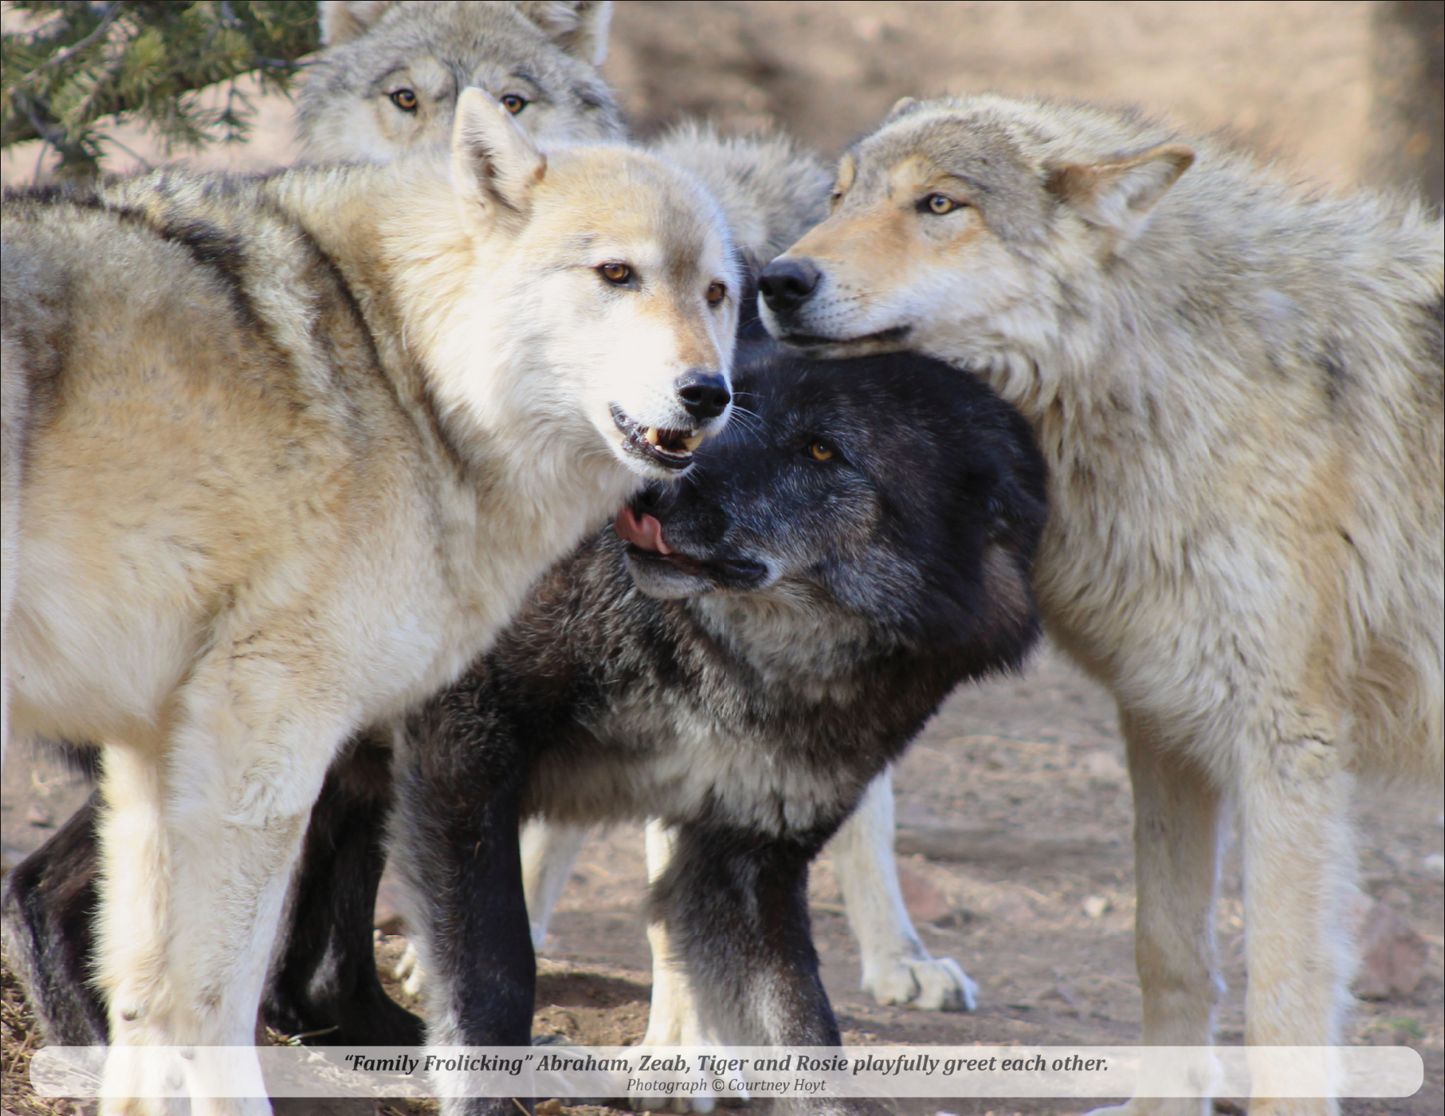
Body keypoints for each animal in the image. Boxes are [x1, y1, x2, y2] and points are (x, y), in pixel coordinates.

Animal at [1, 87, 739, 1114]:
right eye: (617, 274)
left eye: (716, 294)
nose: (709, 393)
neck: (406, 375)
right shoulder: (266, 734)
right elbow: (213, 998)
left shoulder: (155, 740)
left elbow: (146, 999)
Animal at [756, 93, 1444, 1116]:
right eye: (840, 196)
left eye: (938, 205)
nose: (777, 279)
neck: (1164, 377)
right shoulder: (1162, 721)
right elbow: (1166, 947)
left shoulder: (1286, 746)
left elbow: (1283, 996)